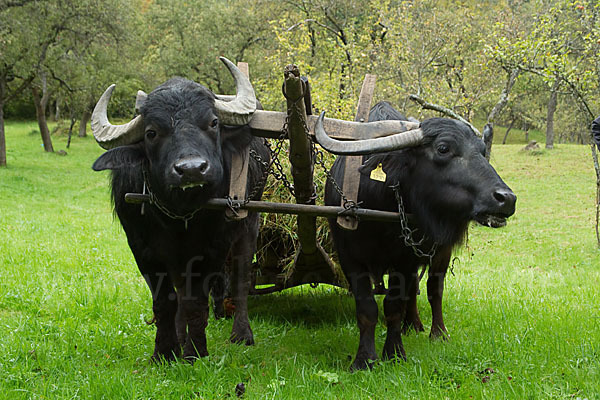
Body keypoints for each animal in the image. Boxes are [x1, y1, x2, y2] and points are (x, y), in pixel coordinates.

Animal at [90, 57, 268, 362]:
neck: (179, 217)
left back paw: (241, 334)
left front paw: (195, 352)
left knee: (241, 279)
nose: (192, 169)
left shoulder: (213, 248)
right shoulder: (142, 250)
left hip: (249, 224)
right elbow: (165, 301)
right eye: (151, 133)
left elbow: (196, 301)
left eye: (213, 123)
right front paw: (164, 351)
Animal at [316, 101, 516, 370]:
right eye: (443, 148)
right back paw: (412, 325)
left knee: (433, 289)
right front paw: (364, 359)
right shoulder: (349, 257)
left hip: (440, 253)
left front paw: (394, 353)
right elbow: (367, 308)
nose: (507, 199)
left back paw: (436, 332)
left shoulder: (405, 259)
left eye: (483, 151)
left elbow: (394, 305)